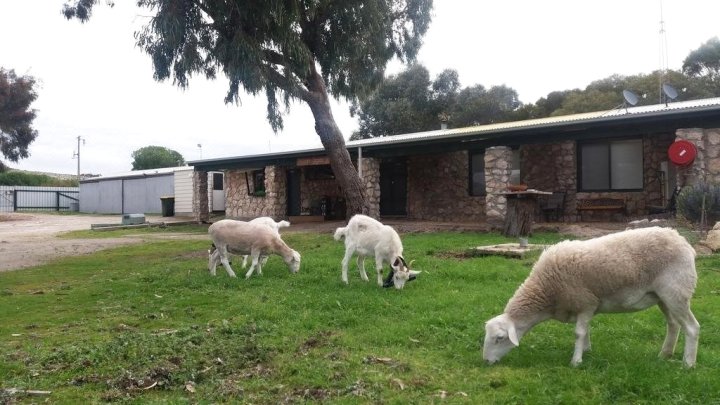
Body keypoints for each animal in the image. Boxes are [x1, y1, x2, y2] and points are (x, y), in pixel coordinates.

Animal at [484, 226, 696, 368]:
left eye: (499, 338)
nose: (485, 361)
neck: (546, 291)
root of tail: (683, 241)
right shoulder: (584, 307)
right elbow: (585, 331)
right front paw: (586, 351)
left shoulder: (585, 302)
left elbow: (578, 332)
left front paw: (576, 361)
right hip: (662, 297)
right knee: (674, 325)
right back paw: (664, 355)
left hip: (677, 291)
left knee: (692, 327)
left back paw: (688, 363)